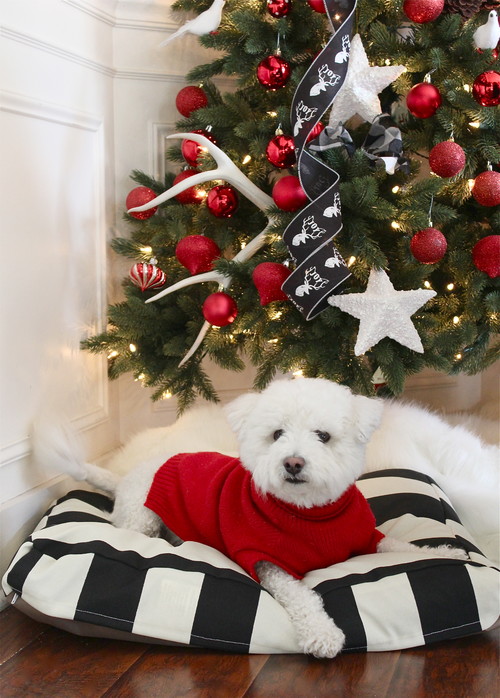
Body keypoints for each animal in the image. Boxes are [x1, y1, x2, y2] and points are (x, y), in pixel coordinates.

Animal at [36, 378, 472, 656]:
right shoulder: (269, 563)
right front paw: (323, 633)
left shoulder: (369, 538)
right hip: (141, 518)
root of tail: (127, 475)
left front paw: (448, 553)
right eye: (277, 434)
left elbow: (404, 546)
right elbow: (303, 596)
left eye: (323, 436)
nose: (292, 463)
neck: (310, 513)